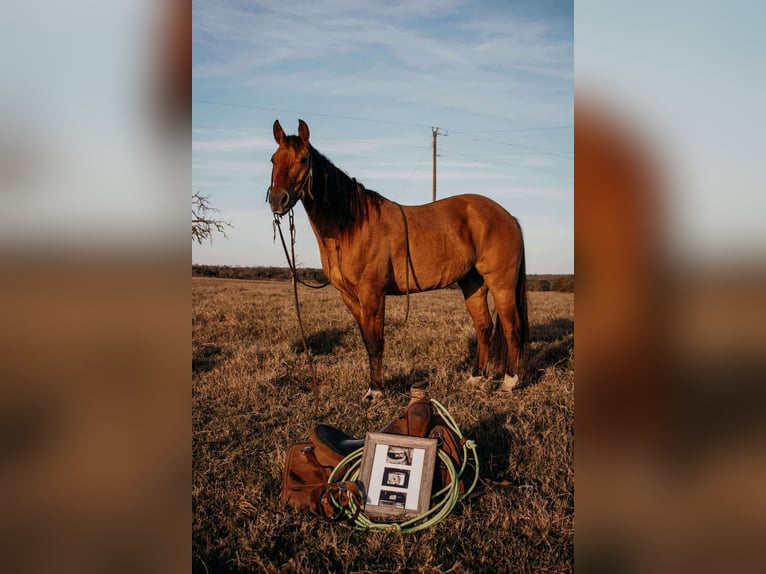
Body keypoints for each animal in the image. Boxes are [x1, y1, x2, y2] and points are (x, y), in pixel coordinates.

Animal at [266, 119, 528, 404]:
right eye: (273, 159)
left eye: (303, 160)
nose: (277, 200)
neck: (351, 226)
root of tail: (508, 216)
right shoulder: (350, 297)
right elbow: (366, 340)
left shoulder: (372, 294)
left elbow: (375, 342)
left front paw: (375, 392)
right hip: (473, 283)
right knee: (484, 326)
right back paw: (476, 378)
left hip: (501, 284)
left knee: (512, 328)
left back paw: (509, 383)